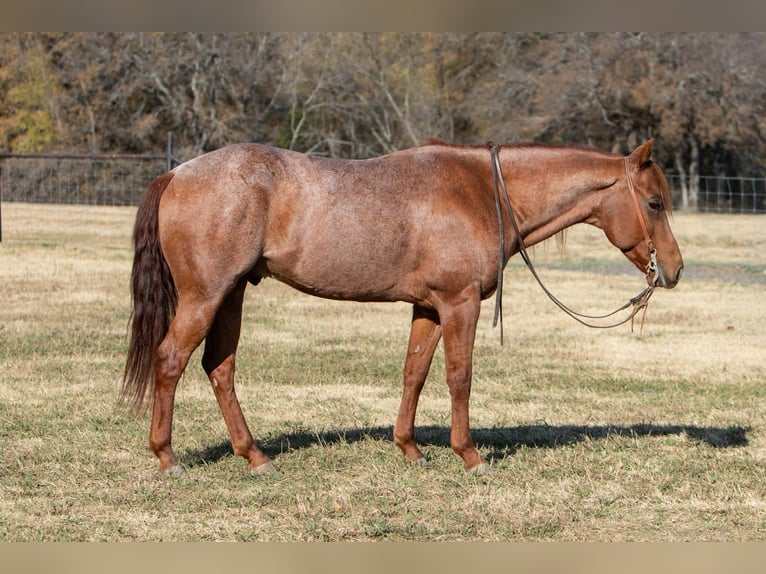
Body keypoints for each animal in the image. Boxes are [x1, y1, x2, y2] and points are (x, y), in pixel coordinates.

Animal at [122, 139, 683, 476]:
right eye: (654, 202)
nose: (674, 270)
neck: (481, 191)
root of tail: (176, 174)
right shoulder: (459, 304)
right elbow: (459, 376)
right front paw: (470, 456)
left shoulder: (429, 308)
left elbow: (415, 372)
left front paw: (409, 448)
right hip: (206, 296)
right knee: (171, 359)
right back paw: (168, 457)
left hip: (232, 294)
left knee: (220, 367)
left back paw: (255, 456)